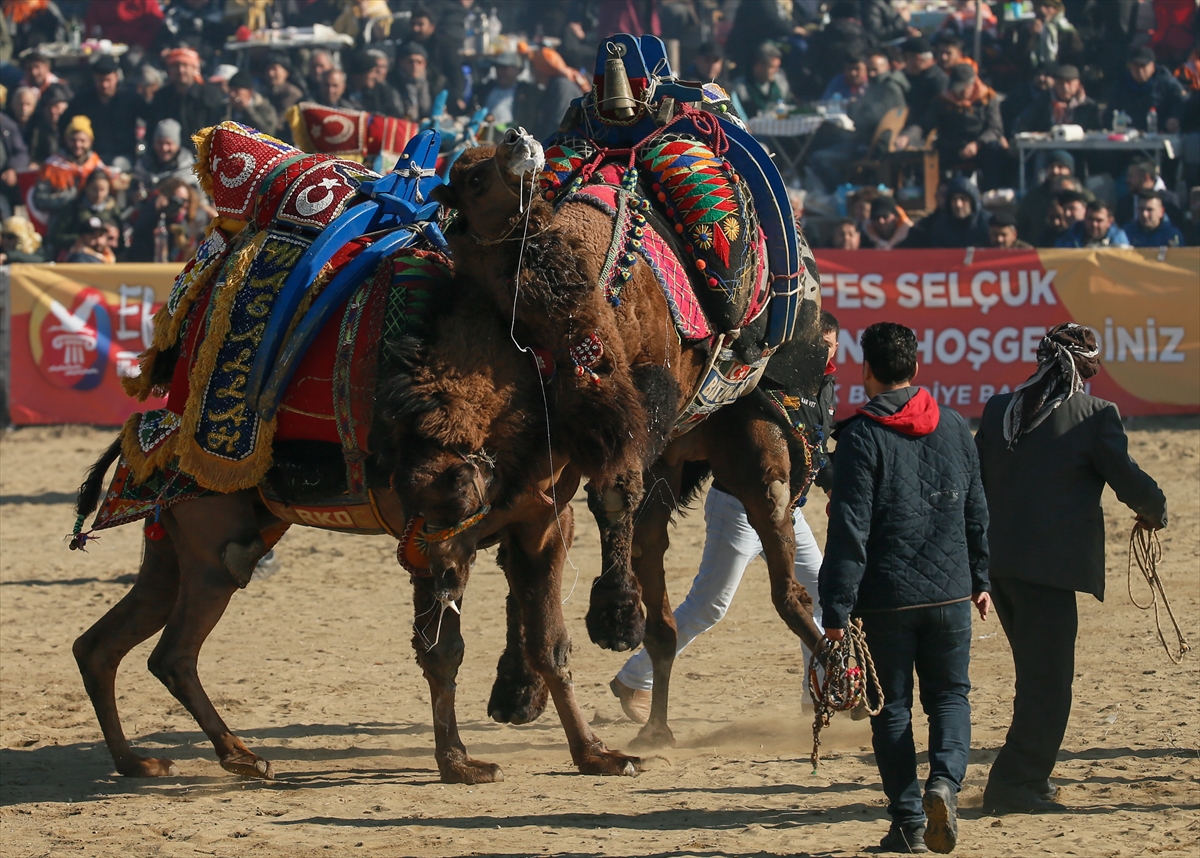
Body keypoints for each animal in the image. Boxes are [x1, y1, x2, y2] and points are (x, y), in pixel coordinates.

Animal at [436, 130, 830, 748]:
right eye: (470, 177)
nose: (516, 139)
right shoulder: (555, 439)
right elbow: (522, 542)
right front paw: (517, 689)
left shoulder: (645, 394)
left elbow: (609, 495)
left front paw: (614, 616)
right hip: (675, 462)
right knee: (666, 607)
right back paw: (655, 727)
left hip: (753, 437)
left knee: (784, 575)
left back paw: (847, 687)